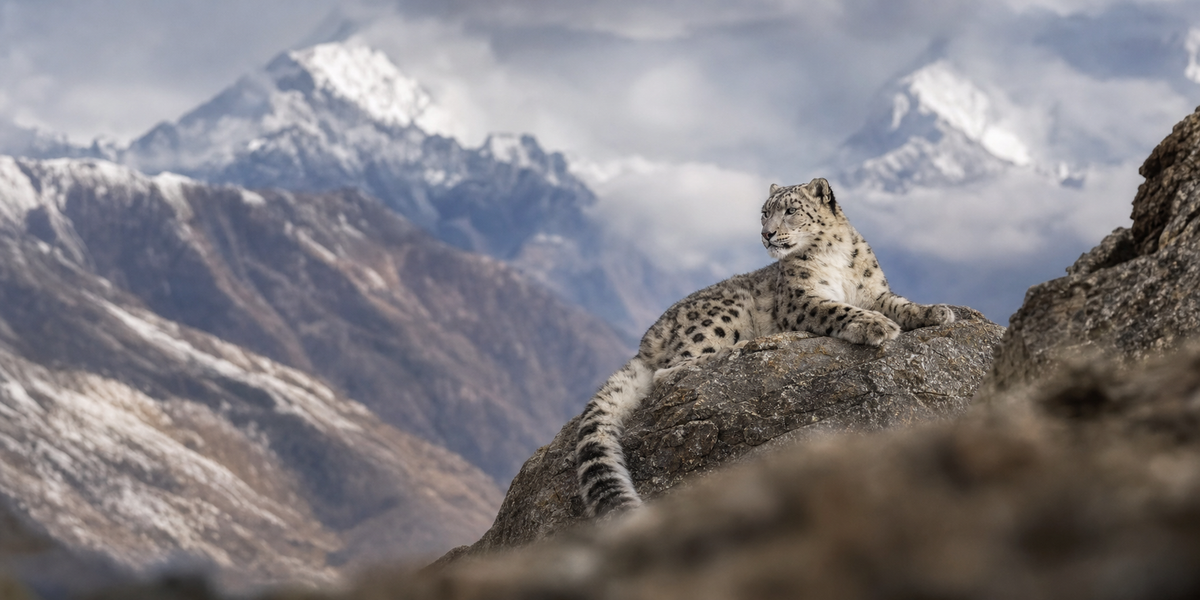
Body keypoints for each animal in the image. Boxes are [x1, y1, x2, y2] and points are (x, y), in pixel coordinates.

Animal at [575, 177, 956, 518]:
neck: (836, 258)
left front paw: (935, 311)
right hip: (722, 314)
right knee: (670, 369)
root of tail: (648, 339)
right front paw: (875, 326)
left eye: (790, 210)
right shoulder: (802, 301)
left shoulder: (874, 293)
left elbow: (900, 304)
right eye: (764, 213)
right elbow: (838, 309)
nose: (766, 234)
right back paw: (740, 348)